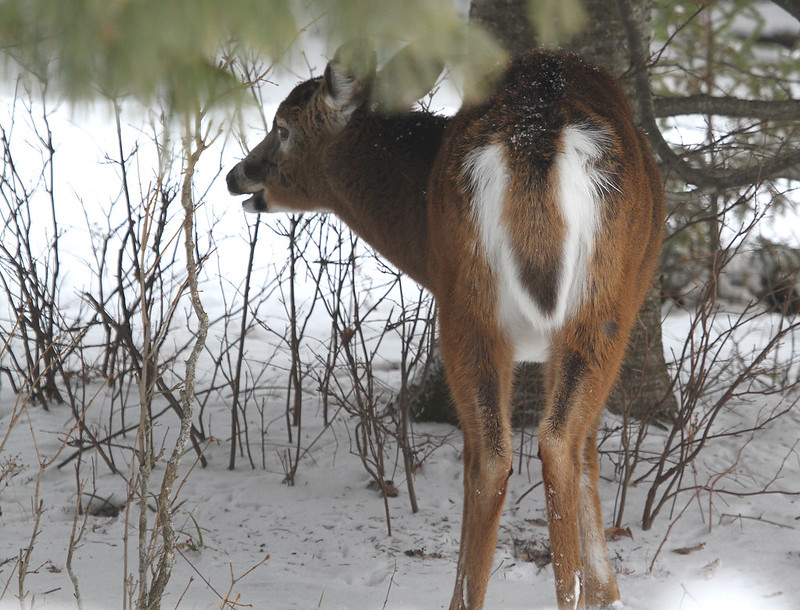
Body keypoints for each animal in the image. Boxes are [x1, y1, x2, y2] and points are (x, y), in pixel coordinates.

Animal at [227, 39, 664, 608]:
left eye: (281, 127)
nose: (237, 174)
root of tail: (534, 134)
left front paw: (606, 592)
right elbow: (588, 448)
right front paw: (607, 592)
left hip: (482, 306)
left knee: (501, 454)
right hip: (586, 307)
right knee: (541, 446)